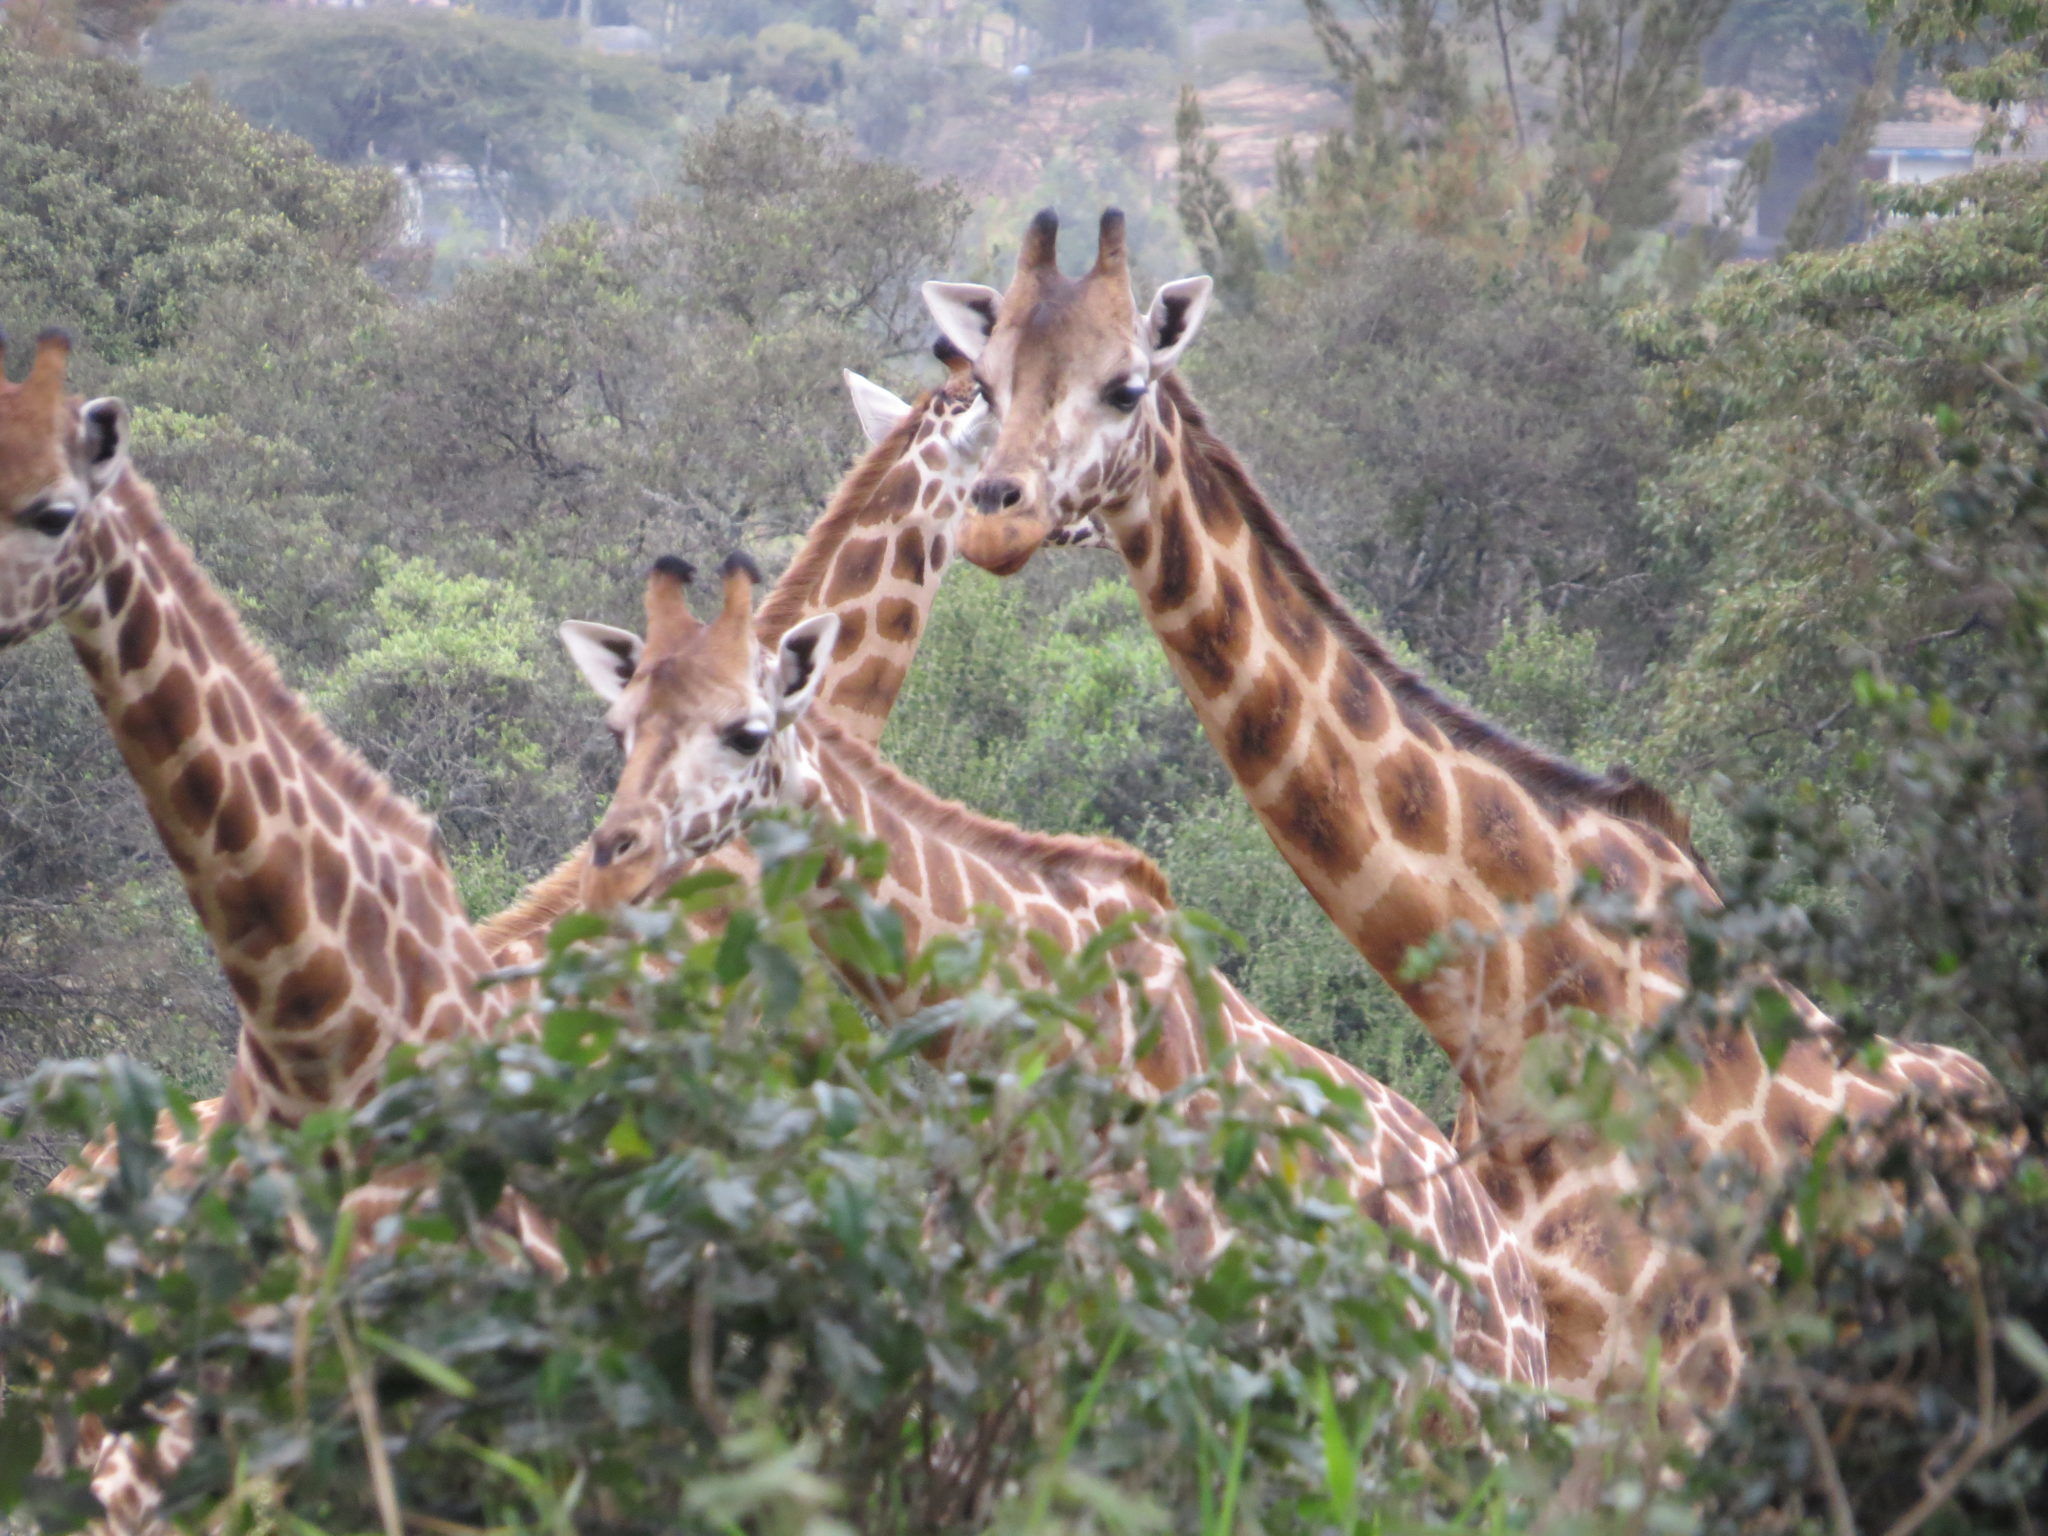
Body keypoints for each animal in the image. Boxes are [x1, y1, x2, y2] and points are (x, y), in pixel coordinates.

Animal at [915, 210, 2011, 1423]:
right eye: (984, 382)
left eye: (1125, 385)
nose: (996, 518)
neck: (1517, 1025)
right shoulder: (1535, 1358)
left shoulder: (1676, 1393)